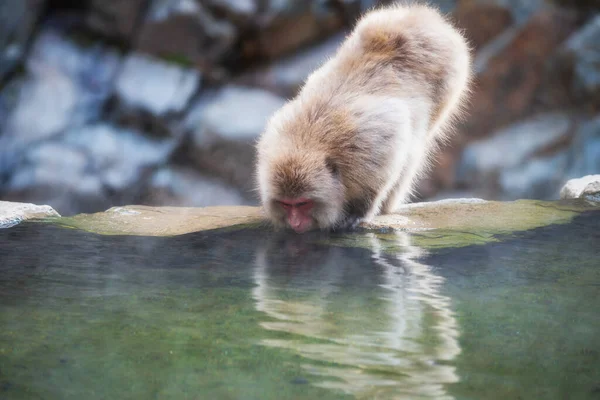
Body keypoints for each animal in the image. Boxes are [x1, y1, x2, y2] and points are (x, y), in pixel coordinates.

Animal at [253, 3, 468, 233]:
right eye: (286, 204)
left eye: (303, 203)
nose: (295, 222)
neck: (308, 139)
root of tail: (421, 16)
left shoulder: (370, 143)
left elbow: (386, 165)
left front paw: (360, 211)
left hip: (449, 81)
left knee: (413, 149)